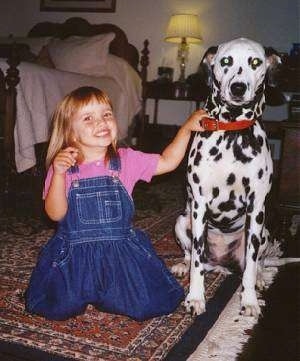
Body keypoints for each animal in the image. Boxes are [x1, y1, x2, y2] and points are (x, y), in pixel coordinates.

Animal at [171, 38, 282, 316]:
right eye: (226, 61)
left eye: (255, 62)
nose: (238, 87)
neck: (232, 133)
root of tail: (221, 265)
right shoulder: (199, 206)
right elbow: (197, 262)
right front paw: (195, 298)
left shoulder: (256, 209)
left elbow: (251, 267)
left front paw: (249, 300)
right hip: (182, 221)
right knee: (190, 256)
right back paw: (181, 265)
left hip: (264, 233)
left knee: (258, 263)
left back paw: (261, 279)